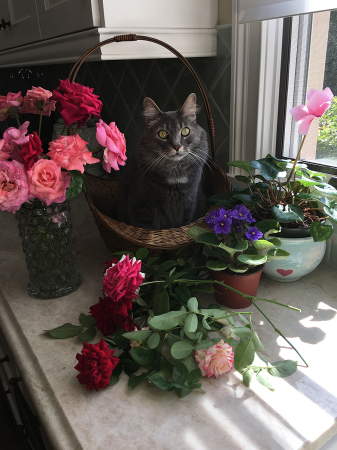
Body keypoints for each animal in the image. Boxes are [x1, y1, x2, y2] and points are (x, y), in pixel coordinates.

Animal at [117, 93, 209, 230]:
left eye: (185, 131)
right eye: (163, 134)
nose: (177, 146)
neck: (174, 172)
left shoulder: (188, 205)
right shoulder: (141, 207)